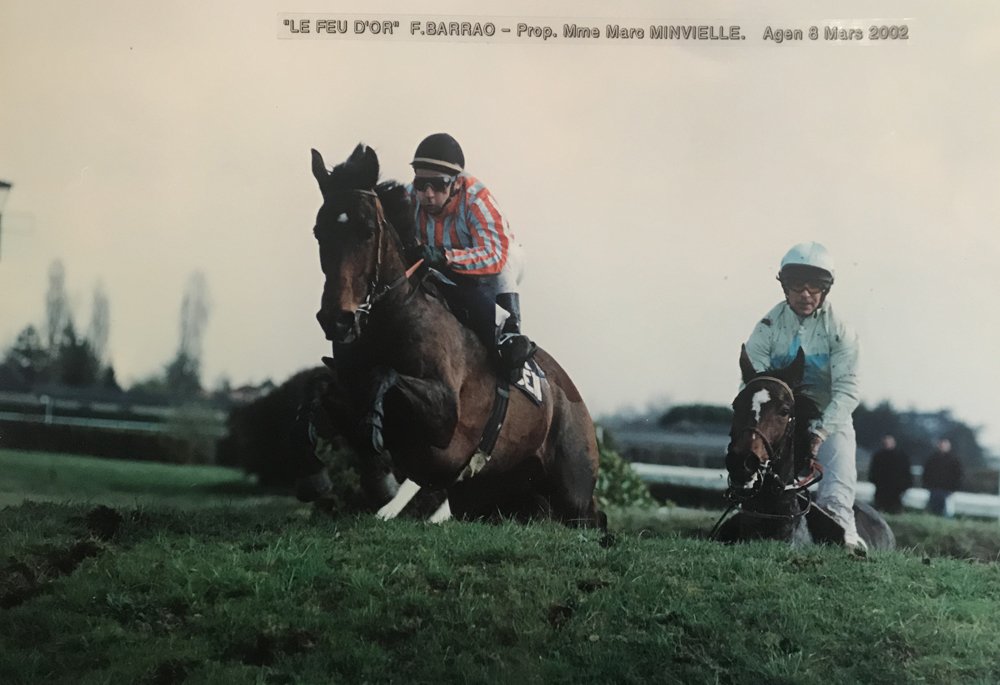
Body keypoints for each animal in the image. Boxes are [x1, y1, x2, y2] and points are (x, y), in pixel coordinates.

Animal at [298, 143, 603, 528]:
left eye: (367, 230)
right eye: (318, 231)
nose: (336, 320)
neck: (393, 313)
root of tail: (574, 396)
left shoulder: (445, 421)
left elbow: (385, 375)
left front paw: (374, 425)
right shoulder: (348, 388)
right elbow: (319, 386)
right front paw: (313, 471)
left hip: (572, 491)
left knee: (593, 517)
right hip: (491, 498)